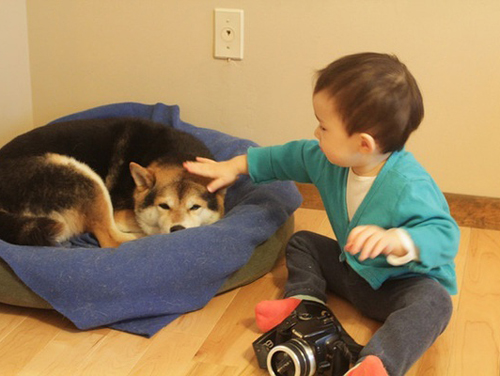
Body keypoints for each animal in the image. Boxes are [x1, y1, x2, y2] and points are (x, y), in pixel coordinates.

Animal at [0, 117, 225, 247]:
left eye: (195, 207)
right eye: (163, 206)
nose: (177, 231)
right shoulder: (122, 212)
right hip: (83, 177)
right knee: (113, 240)